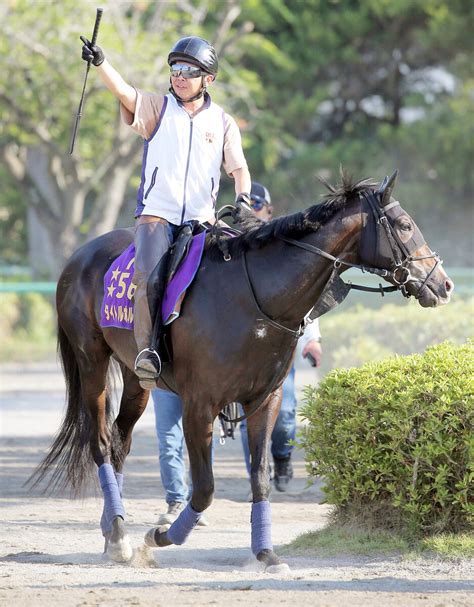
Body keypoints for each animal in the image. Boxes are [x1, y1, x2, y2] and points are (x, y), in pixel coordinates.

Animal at [27, 172, 454, 568]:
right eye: (404, 225)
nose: (444, 283)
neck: (256, 300)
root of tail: (80, 256)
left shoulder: (263, 399)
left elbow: (260, 477)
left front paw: (265, 553)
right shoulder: (198, 406)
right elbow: (204, 489)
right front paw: (161, 535)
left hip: (137, 380)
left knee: (120, 442)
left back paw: (112, 531)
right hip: (92, 363)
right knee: (100, 441)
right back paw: (118, 535)